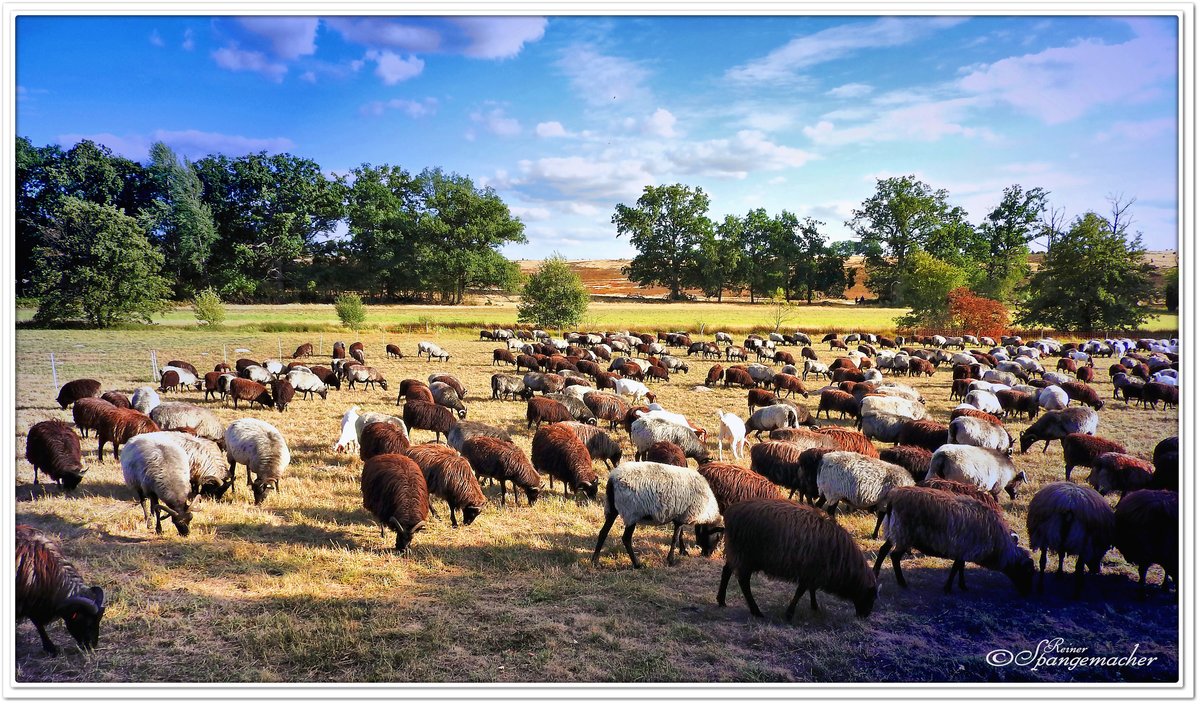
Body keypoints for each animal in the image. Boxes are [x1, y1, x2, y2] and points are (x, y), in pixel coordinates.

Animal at [715, 498, 878, 618]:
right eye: (870, 596)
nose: (865, 616)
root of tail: (730, 512)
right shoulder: (810, 572)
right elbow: (801, 592)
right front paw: (790, 613)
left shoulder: (813, 573)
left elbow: (811, 590)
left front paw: (814, 606)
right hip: (746, 555)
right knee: (743, 582)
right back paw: (756, 611)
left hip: (736, 552)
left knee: (726, 571)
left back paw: (721, 600)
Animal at [878, 486, 1036, 597]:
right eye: (1027, 571)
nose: (1027, 593)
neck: (999, 545)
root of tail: (894, 496)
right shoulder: (964, 549)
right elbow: (956, 568)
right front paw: (949, 588)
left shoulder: (964, 550)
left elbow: (960, 567)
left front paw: (962, 585)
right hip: (904, 534)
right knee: (894, 556)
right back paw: (902, 583)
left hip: (894, 530)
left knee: (883, 550)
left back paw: (876, 572)